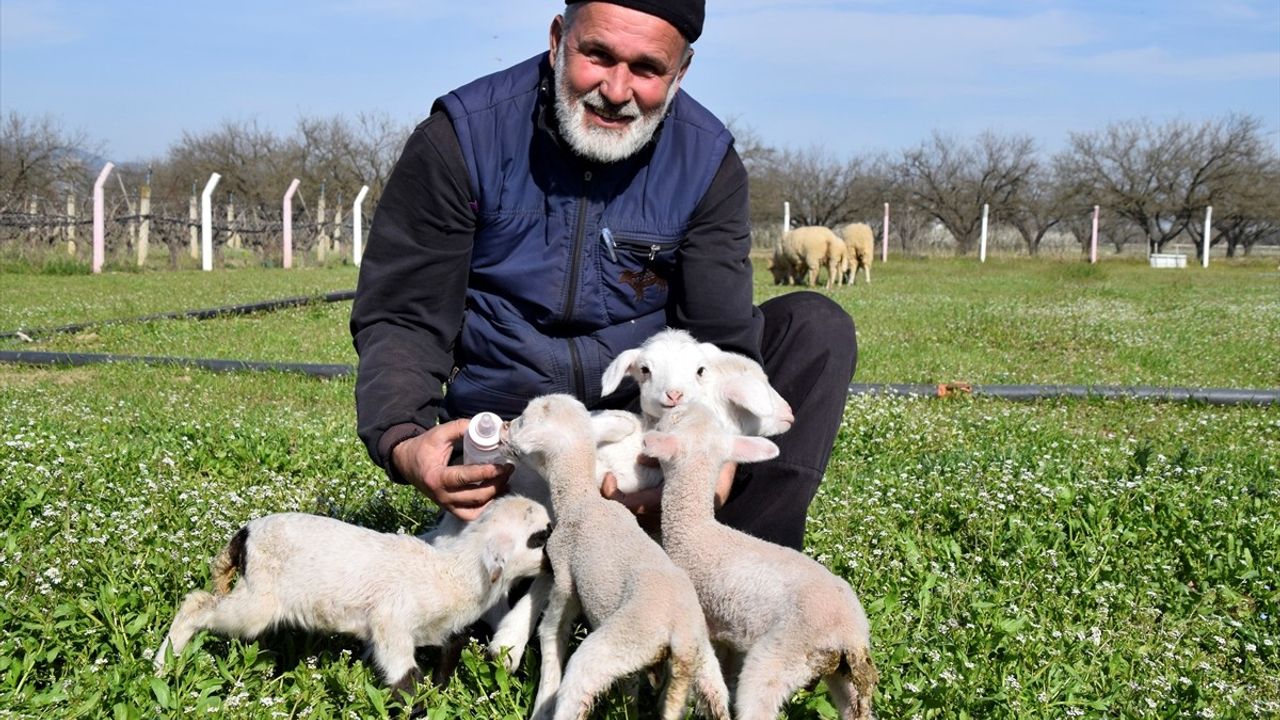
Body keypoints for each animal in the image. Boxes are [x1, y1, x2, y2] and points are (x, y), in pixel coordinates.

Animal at [506, 392, 737, 717]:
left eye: (523, 420)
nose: (505, 426)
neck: (581, 498)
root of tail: (681, 636)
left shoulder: (564, 574)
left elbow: (552, 632)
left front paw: (542, 702)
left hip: (617, 645)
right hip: (702, 660)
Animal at [645, 399, 875, 712]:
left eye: (674, 417)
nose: (676, 401)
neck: (694, 529)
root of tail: (849, 633)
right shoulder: (727, 632)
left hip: (781, 657)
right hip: (844, 674)